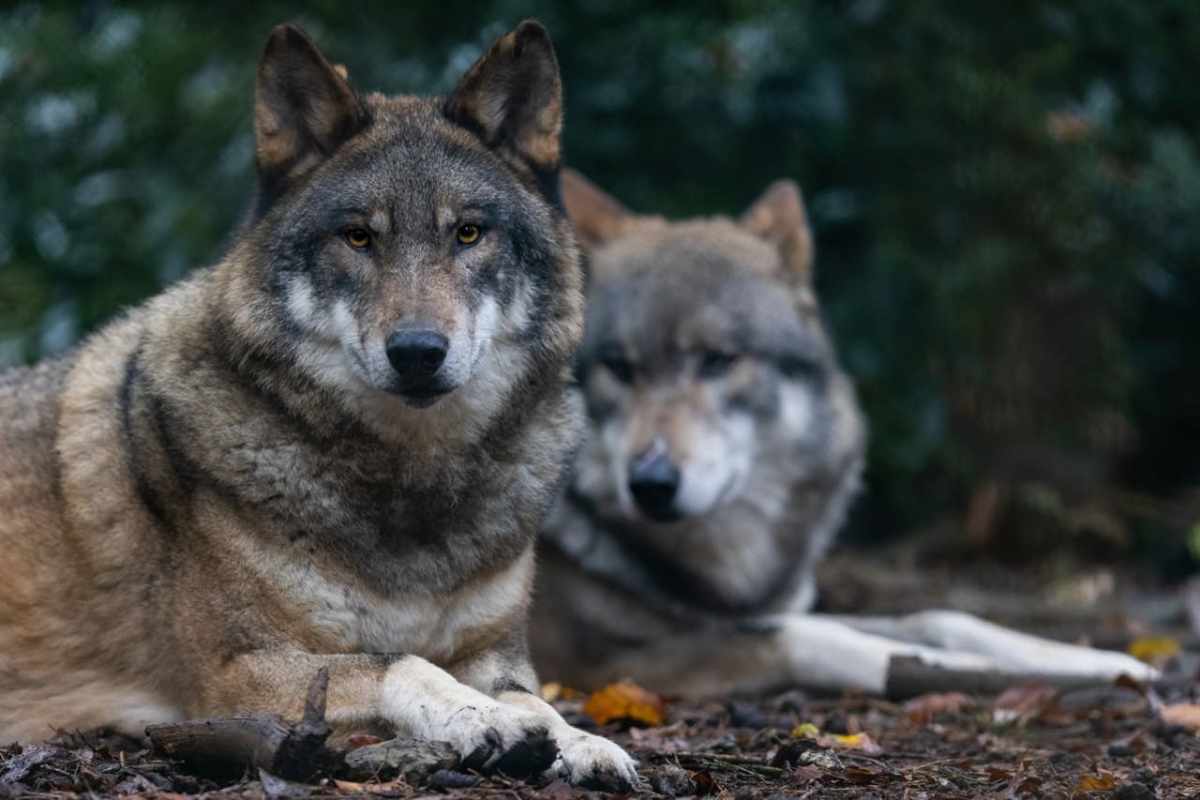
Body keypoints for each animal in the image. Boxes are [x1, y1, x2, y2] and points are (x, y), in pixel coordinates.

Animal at [0, 24, 637, 789]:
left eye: (468, 233)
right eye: (359, 236)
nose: (417, 351)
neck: (413, 490)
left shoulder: (496, 653)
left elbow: (531, 697)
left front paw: (579, 740)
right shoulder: (237, 673)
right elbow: (402, 663)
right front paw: (486, 721)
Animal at [530, 170, 1156, 698]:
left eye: (718, 361)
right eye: (620, 368)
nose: (651, 484)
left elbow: (939, 615)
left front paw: (1106, 662)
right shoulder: (601, 664)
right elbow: (815, 636)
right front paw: (960, 669)